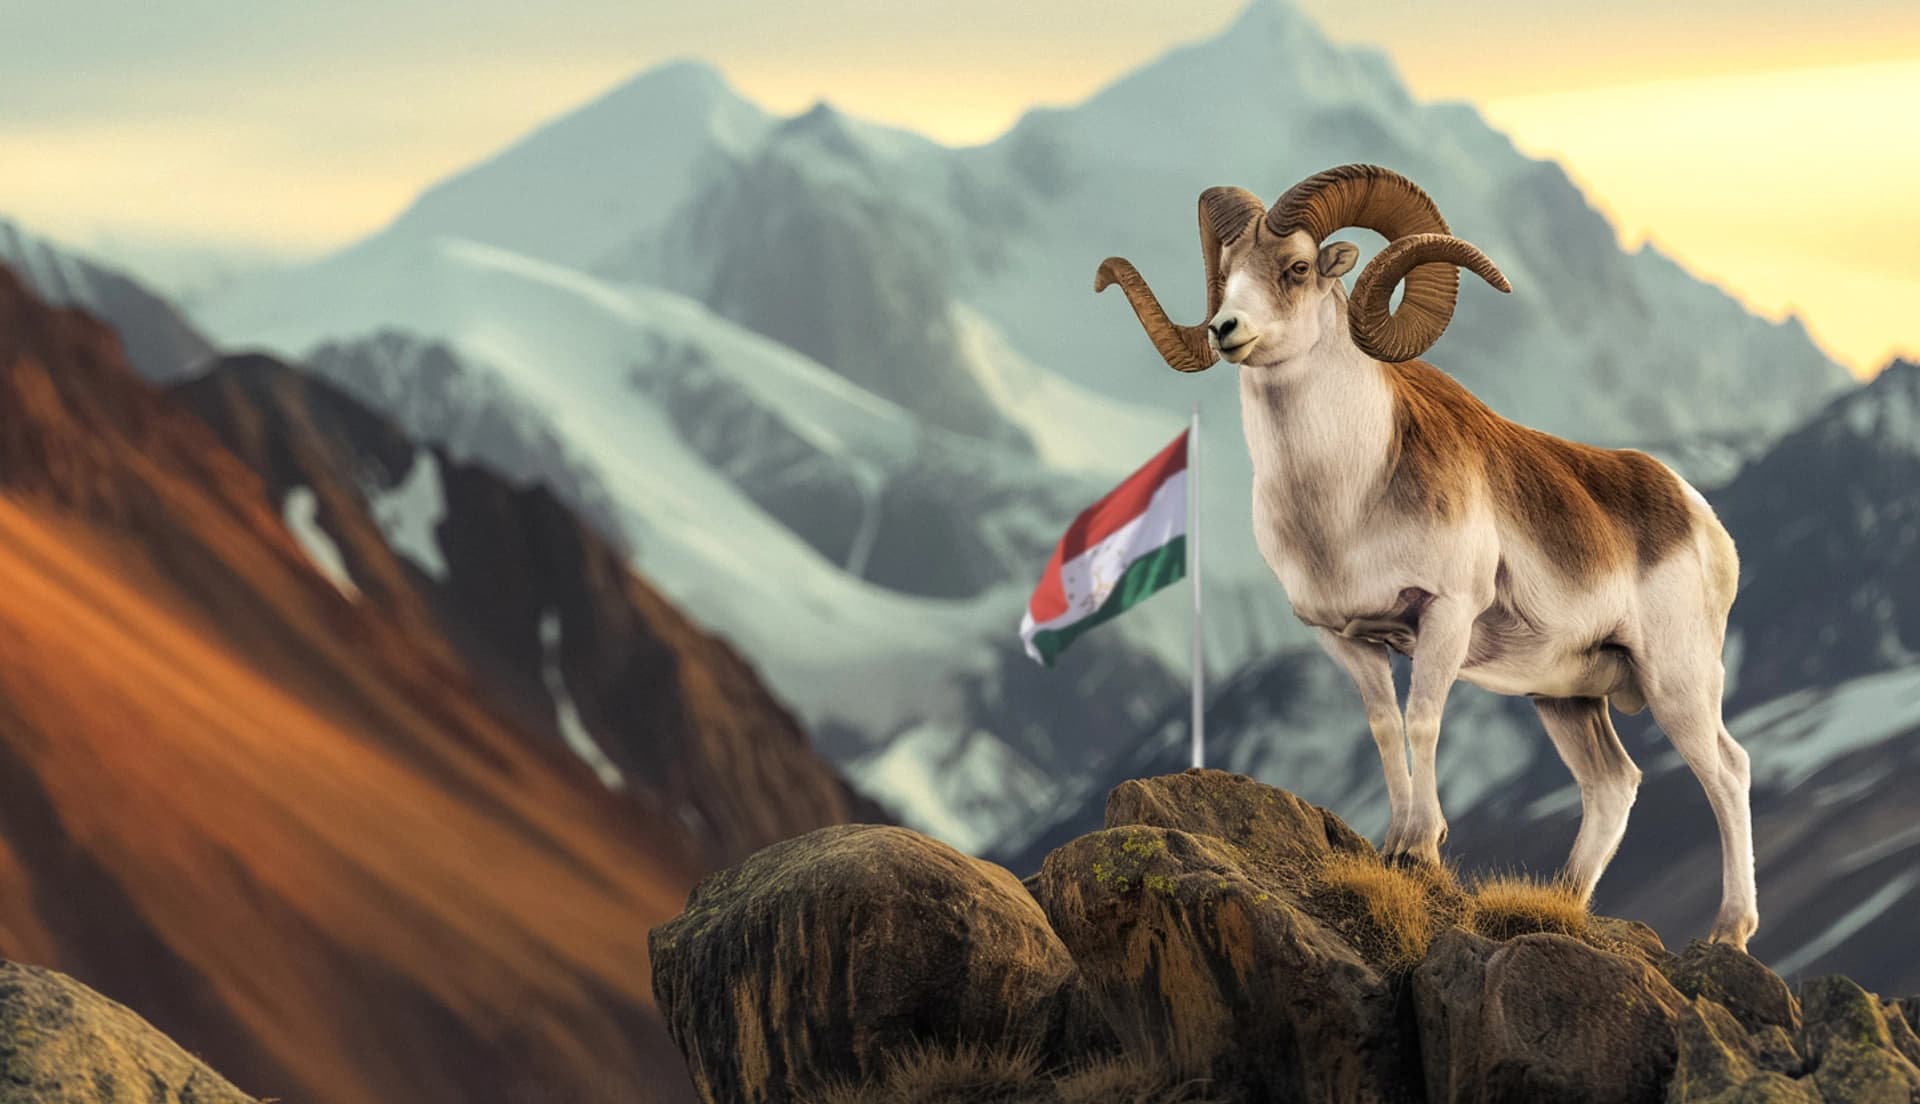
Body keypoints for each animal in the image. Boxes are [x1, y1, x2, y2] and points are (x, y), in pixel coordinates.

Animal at [1095, 164, 1756, 949]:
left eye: (1295, 268)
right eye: (1226, 275)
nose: (1226, 331)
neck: (1347, 500)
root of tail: (1700, 517)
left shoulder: (1445, 616)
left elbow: (1423, 721)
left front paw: (1421, 847)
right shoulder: (1348, 639)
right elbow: (1386, 727)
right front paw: (1396, 845)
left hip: (1677, 681)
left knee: (1727, 770)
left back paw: (1728, 932)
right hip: (1567, 698)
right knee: (1612, 784)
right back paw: (1562, 900)